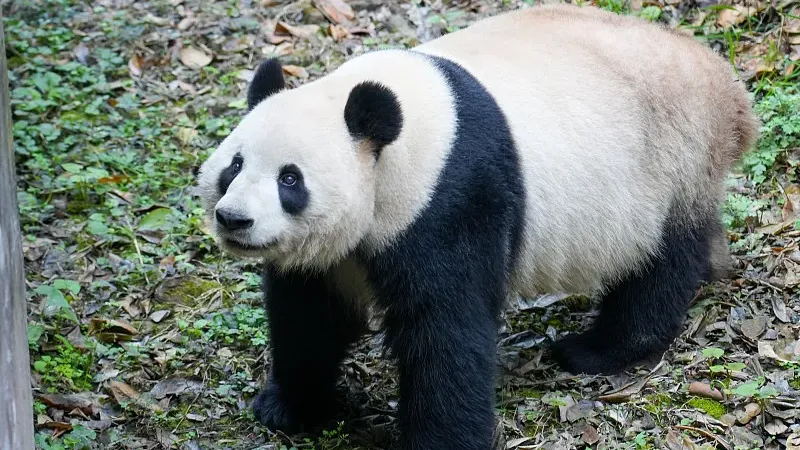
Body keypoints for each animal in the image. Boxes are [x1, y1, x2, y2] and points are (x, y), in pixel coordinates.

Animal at [195, 4, 758, 449]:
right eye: (235, 165)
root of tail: (727, 90)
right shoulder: (334, 251)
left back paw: (599, 348)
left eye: (290, 179)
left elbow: (447, 327)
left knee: (658, 265)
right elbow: (309, 314)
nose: (234, 219)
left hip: (668, 159)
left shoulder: (451, 194)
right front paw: (290, 406)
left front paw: (438, 439)